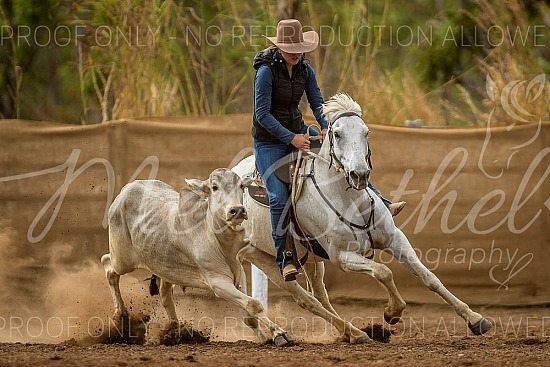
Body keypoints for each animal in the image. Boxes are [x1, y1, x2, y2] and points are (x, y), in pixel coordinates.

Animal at [101, 170, 296, 348]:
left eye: (241, 186)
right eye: (214, 187)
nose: (238, 210)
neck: (218, 239)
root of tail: (126, 191)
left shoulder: (239, 274)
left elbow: (249, 314)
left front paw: (265, 338)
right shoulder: (218, 282)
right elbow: (254, 304)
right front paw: (280, 334)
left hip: (165, 269)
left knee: (165, 295)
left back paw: (176, 330)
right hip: (122, 260)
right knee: (108, 266)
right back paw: (121, 316)